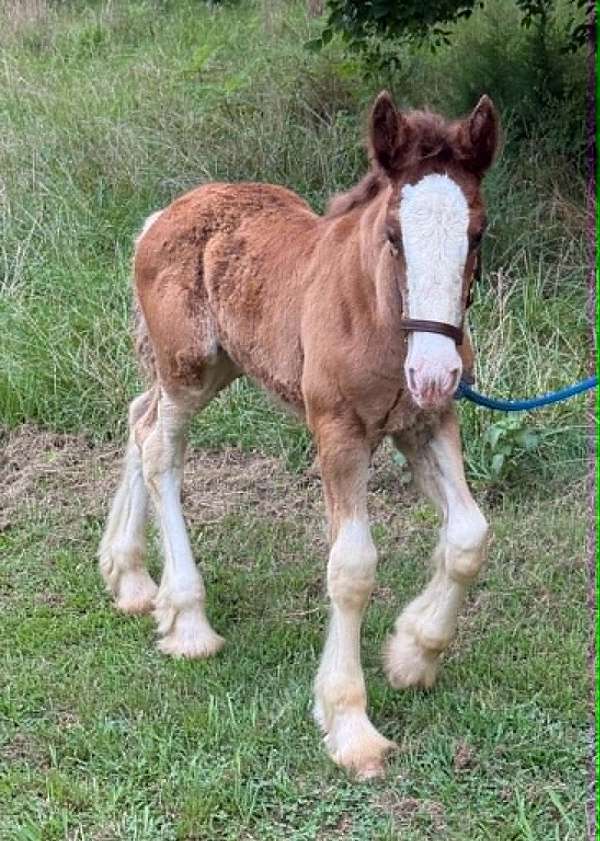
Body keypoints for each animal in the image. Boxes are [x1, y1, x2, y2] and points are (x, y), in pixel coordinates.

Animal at [99, 90, 498, 779]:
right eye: (394, 235)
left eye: (476, 233)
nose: (435, 372)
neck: (376, 318)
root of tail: (162, 216)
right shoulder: (337, 431)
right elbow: (353, 566)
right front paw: (350, 724)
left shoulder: (426, 423)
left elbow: (469, 537)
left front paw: (412, 653)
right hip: (189, 367)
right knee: (159, 447)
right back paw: (188, 621)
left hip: (214, 368)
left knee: (138, 415)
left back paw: (130, 580)